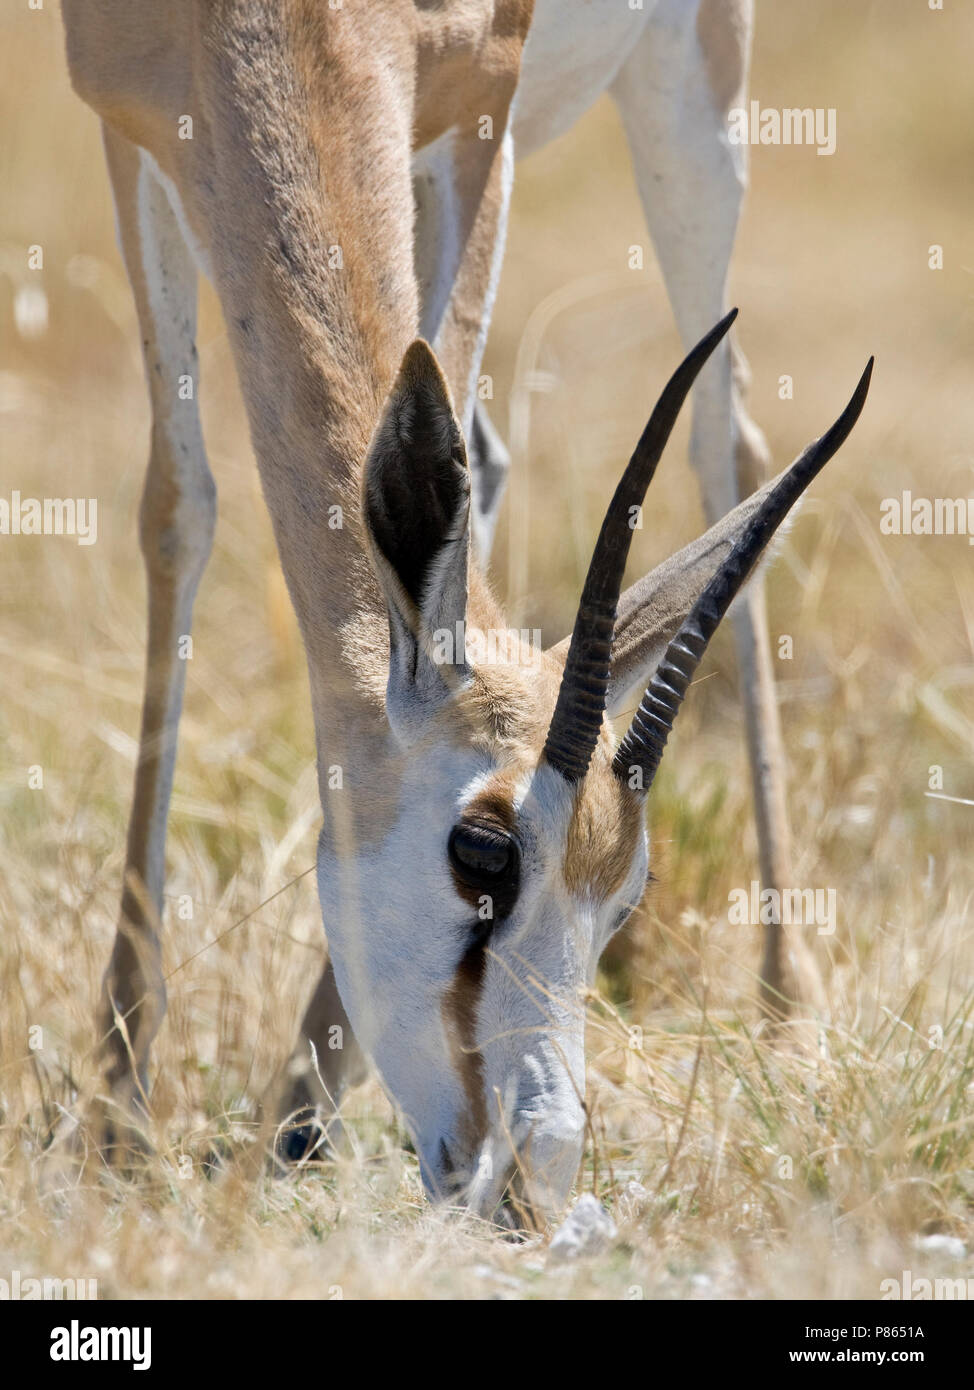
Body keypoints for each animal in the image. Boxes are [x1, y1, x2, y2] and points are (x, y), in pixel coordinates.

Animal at [66, 0, 872, 1217]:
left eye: (624, 896)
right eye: (483, 854)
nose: (533, 1171)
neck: (261, 26)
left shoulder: (478, 104)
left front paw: (296, 1093)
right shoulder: (131, 124)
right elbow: (179, 505)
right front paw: (117, 1108)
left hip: (694, 93)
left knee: (723, 446)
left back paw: (782, 1006)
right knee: (486, 453)